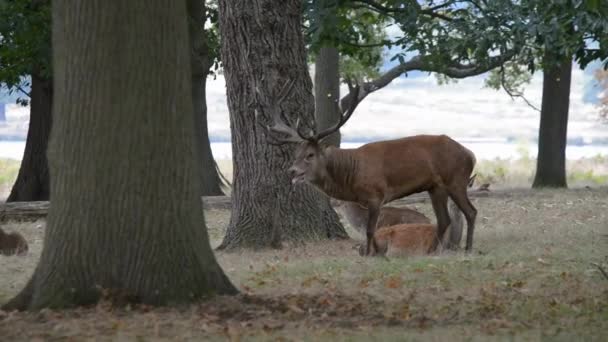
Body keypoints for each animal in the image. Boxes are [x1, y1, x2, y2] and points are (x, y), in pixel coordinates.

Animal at [254, 81, 478, 255]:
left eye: (310, 155)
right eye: (296, 154)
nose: (292, 171)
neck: (351, 177)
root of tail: (471, 154)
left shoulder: (376, 194)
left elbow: (370, 229)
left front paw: (373, 253)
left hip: (456, 179)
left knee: (471, 211)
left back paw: (468, 249)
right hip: (435, 187)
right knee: (444, 220)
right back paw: (431, 251)